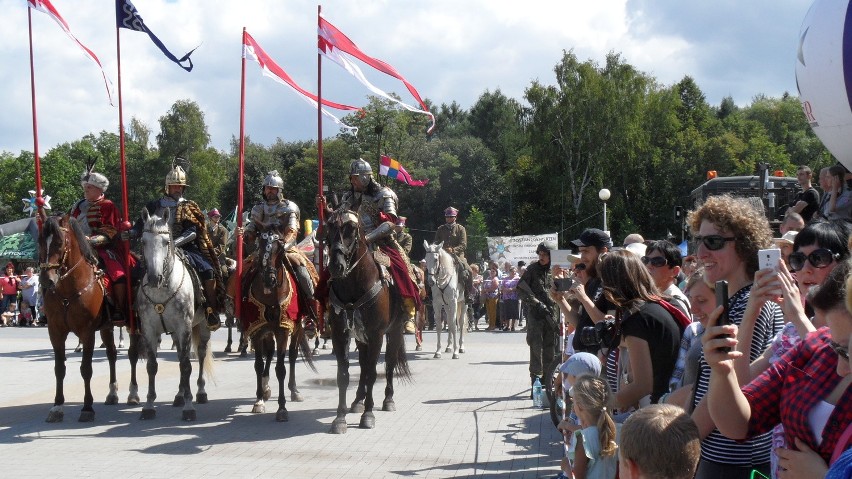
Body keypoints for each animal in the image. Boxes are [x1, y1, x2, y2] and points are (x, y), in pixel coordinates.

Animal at [40, 216, 118, 422]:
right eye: (40, 242)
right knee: (112, 354)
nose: (46, 280)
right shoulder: (55, 332)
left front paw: (87, 407)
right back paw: (112, 393)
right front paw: (57, 406)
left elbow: (86, 369)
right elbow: (59, 368)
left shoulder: (87, 332)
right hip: (107, 327)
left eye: (59, 243)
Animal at [133, 209, 215, 420]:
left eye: (165, 242)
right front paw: (148, 406)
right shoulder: (149, 330)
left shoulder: (184, 327)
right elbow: (152, 366)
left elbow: (187, 365)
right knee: (179, 357)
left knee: (200, 355)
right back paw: (178, 395)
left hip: (202, 326)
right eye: (143, 241)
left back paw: (200, 392)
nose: (154, 278)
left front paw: (189, 407)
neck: (162, 291)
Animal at [230, 225, 316, 424]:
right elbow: (259, 364)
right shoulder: (258, 328)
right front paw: (259, 400)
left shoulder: (283, 329)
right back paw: (266, 387)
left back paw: (294, 390)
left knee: (292, 356)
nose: (270, 279)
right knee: (269, 354)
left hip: (297, 327)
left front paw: (282, 408)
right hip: (268, 331)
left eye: (280, 249)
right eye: (260, 247)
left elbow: (281, 368)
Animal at [322, 208, 410, 434]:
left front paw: (368, 415)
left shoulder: (376, 334)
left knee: (388, 363)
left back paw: (388, 400)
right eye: (329, 227)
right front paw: (340, 418)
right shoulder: (340, 335)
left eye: (352, 228)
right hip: (361, 337)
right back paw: (357, 401)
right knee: (362, 365)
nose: (336, 265)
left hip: (394, 331)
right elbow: (343, 374)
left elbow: (372, 372)